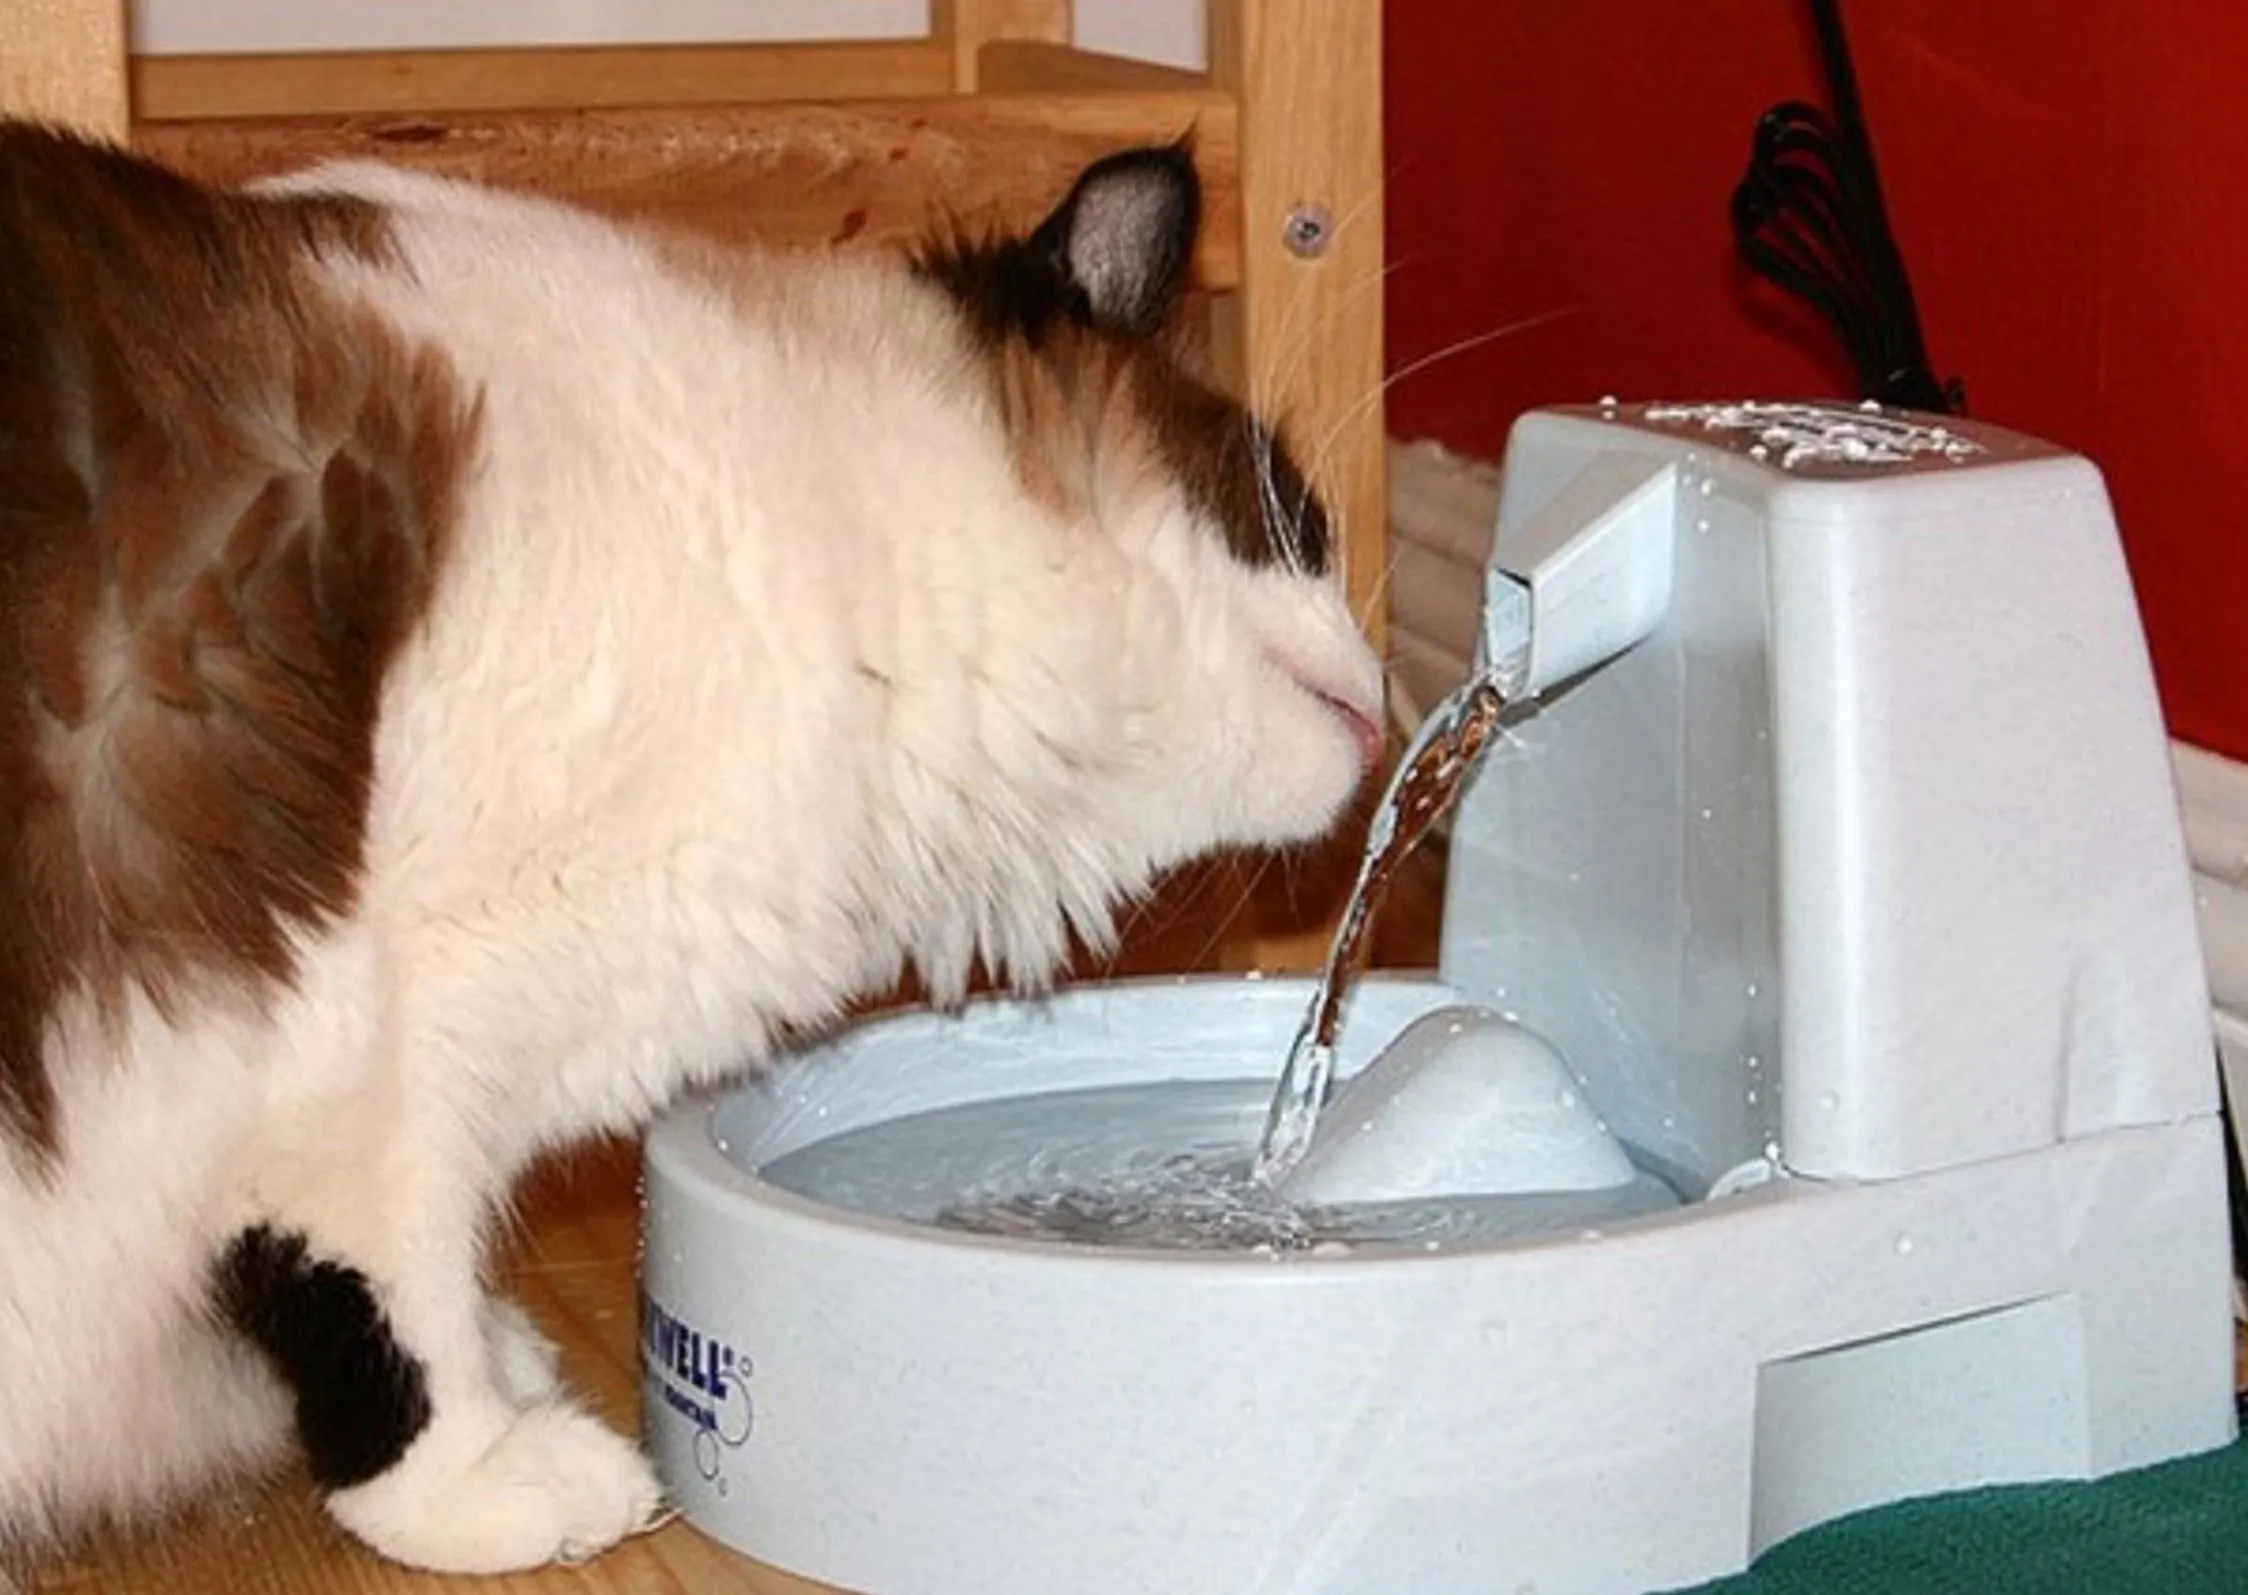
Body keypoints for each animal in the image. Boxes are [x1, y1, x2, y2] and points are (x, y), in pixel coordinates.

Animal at [0, 118, 1384, 1581]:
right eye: (1298, 519)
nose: (1387, 681)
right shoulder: (370, 1041)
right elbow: (393, 1301)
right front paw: (489, 1479)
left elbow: (421, 1291)